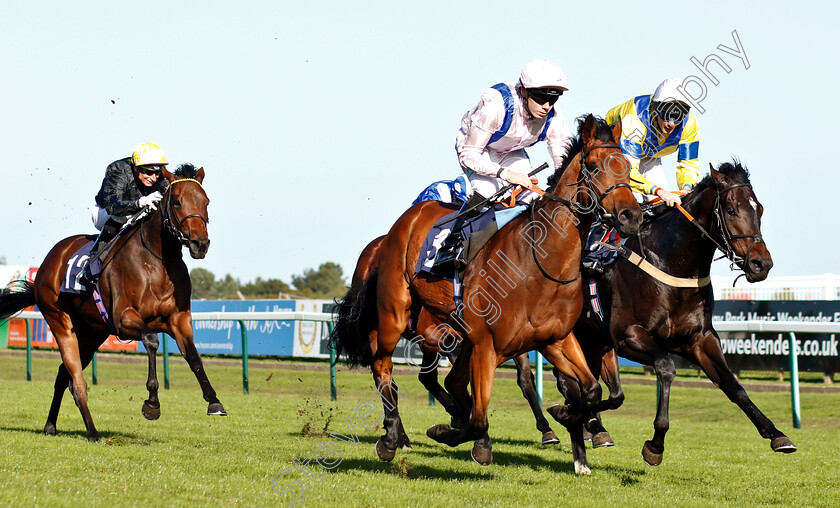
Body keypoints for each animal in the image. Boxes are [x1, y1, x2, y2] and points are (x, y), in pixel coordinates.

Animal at [0, 164, 225, 440]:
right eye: (177, 201)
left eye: (206, 201)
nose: (200, 244)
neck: (158, 261)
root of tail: (47, 263)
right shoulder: (123, 319)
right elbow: (151, 340)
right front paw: (152, 403)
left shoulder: (178, 320)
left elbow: (193, 356)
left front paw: (214, 401)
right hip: (60, 321)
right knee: (76, 381)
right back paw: (93, 432)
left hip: (91, 333)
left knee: (63, 375)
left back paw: (51, 426)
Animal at [334, 113, 644, 474]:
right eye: (593, 168)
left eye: (627, 167)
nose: (631, 216)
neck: (539, 265)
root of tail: (400, 225)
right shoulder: (486, 345)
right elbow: (480, 418)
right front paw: (452, 434)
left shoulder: (556, 340)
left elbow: (592, 391)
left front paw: (566, 417)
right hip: (395, 314)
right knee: (383, 367)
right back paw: (391, 438)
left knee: (444, 381)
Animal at [560, 161, 796, 466]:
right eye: (731, 209)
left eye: (760, 209)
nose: (761, 264)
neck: (670, 264)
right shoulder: (629, 337)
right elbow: (666, 368)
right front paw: (655, 444)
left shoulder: (700, 340)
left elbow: (734, 386)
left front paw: (776, 433)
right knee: (570, 384)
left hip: (595, 341)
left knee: (598, 388)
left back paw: (591, 425)